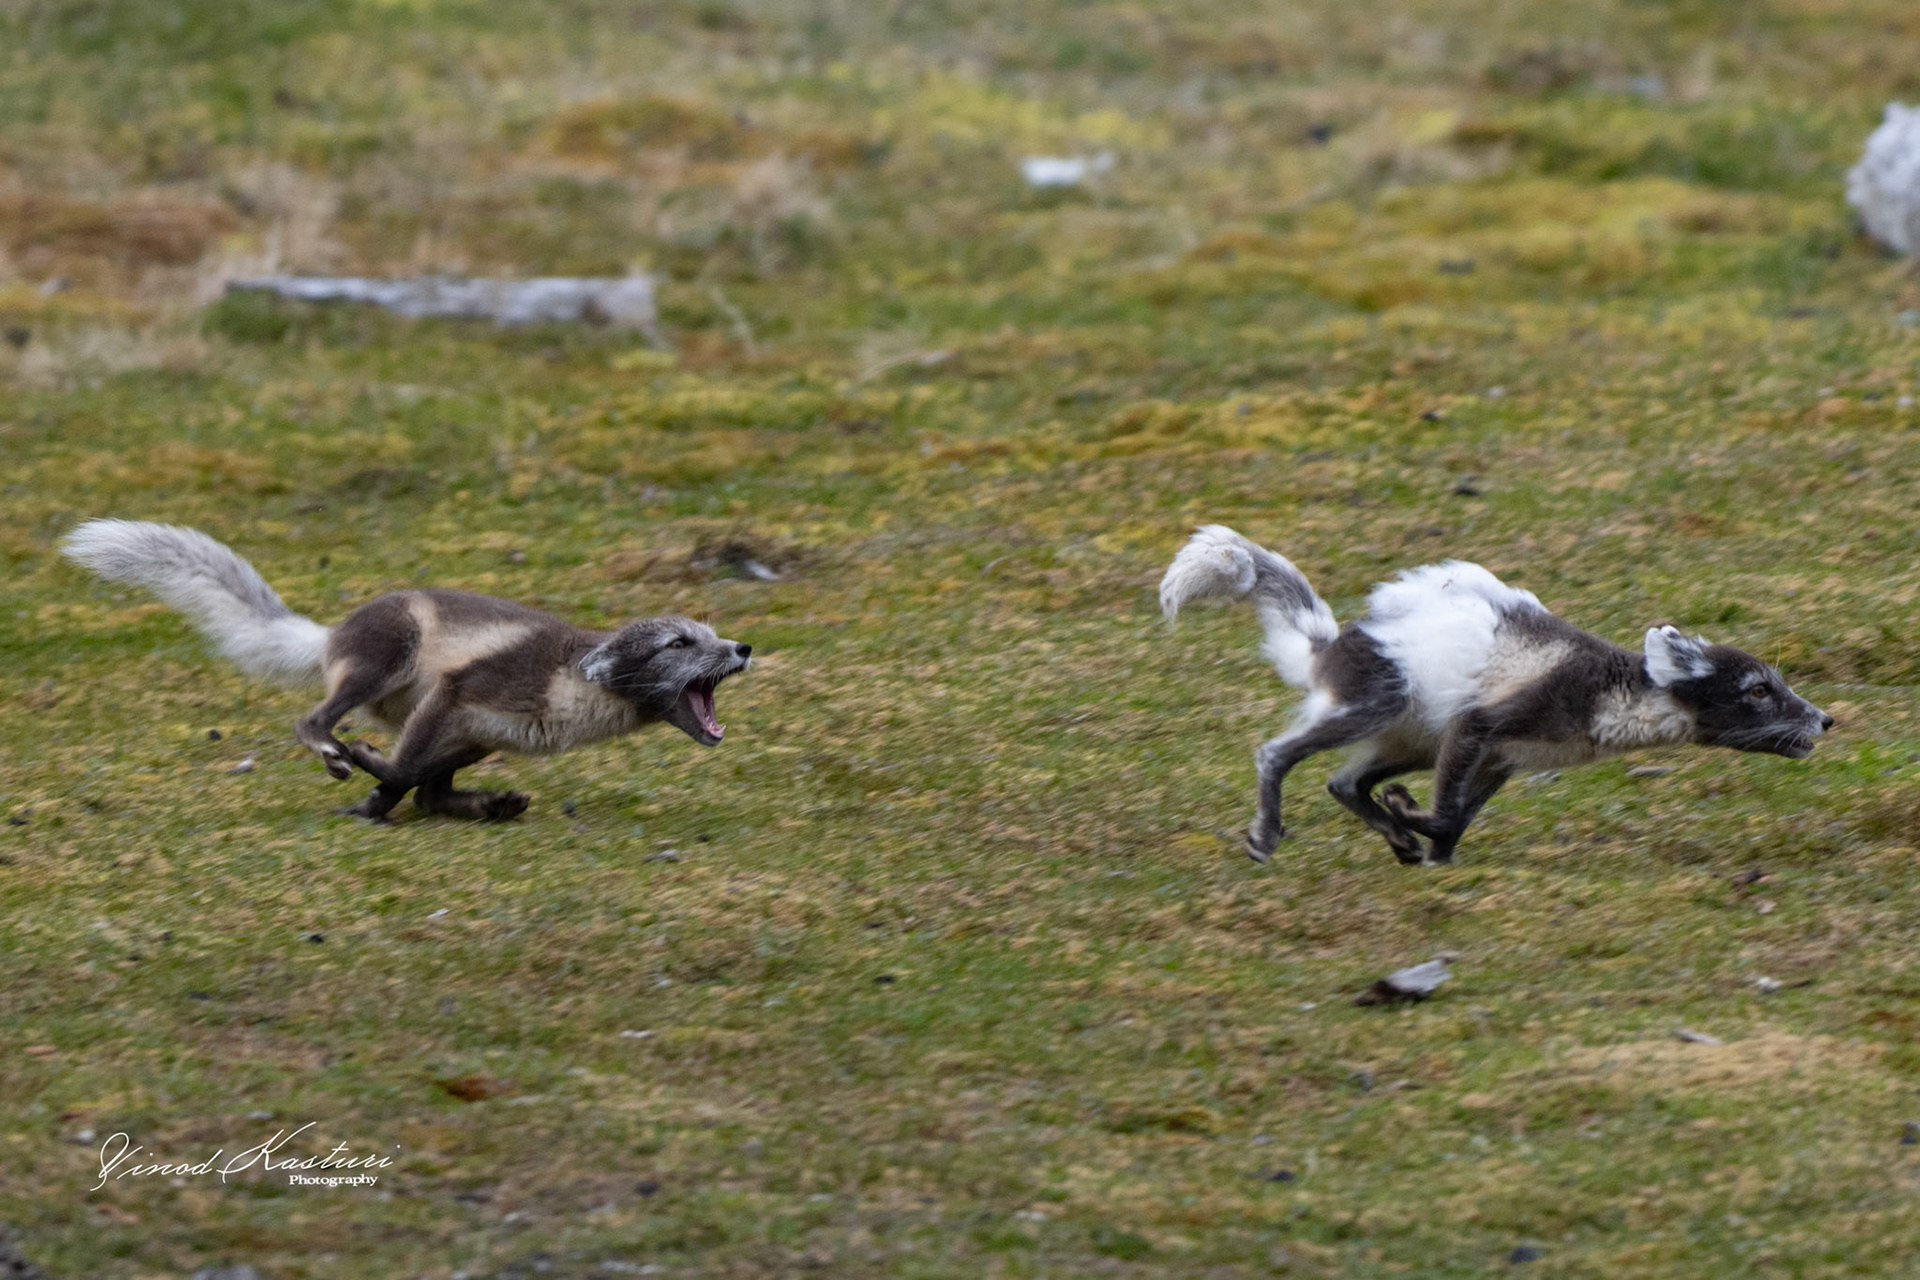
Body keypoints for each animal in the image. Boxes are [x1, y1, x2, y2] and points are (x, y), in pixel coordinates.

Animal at [62, 519, 752, 824]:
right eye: (678, 642)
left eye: (712, 633)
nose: (744, 647)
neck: (573, 689)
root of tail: (332, 634)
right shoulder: (462, 690)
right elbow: (399, 769)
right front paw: (367, 785)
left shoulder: (483, 725)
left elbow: (414, 780)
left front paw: (375, 797)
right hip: (389, 659)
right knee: (312, 720)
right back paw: (337, 753)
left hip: (469, 737)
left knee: (431, 789)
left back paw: (490, 803)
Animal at [1159, 525, 1833, 866]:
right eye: (1759, 689)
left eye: (1778, 684)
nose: (1826, 720)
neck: (1606, 693)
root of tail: (1329, 648)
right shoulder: (1484, 724)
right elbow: (1446, 810)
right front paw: (1415, 821)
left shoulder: (1508, 757)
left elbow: (1457, 816)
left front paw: (1435, 856)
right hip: (1378, 703)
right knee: (1277, 754)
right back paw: (1268, 836)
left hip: (1413, 741)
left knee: (1342, 782)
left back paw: (1399, 842)